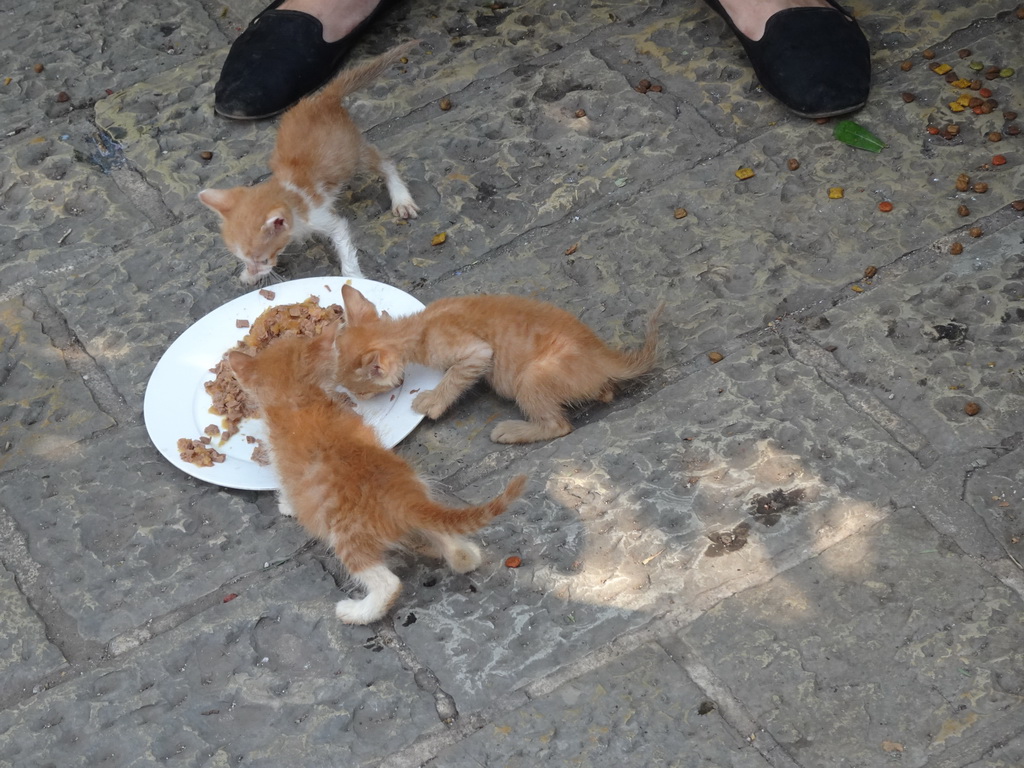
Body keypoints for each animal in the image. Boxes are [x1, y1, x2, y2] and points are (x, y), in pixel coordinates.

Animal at [199, 40, 419, 286]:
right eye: (242, 258)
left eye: (263, 259)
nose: (256, 270)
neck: (288, 191)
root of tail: (323, 99)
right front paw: (248, 276)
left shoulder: (324, 218)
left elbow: (344, 245)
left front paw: (354, 278)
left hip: (352, 155)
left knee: (385, 163)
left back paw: (401, 199)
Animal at [227, 325, 524, 626]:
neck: (300, 398)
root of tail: (405, 498)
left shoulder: (281, 461)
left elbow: (286, 488)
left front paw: (287, 506)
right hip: (423, 500)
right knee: (454, 548)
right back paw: (460, 554)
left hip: (348, 538)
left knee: (388, 584)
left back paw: (356, 612)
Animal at [329, 286, 663, 444]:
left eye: (361, 393)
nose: (357, 399)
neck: (418, 327)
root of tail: (602, 354)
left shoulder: (476, 352)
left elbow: (455, 375)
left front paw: (433, 400)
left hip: (532, 377)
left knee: (558, 426)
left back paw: (513, 430)